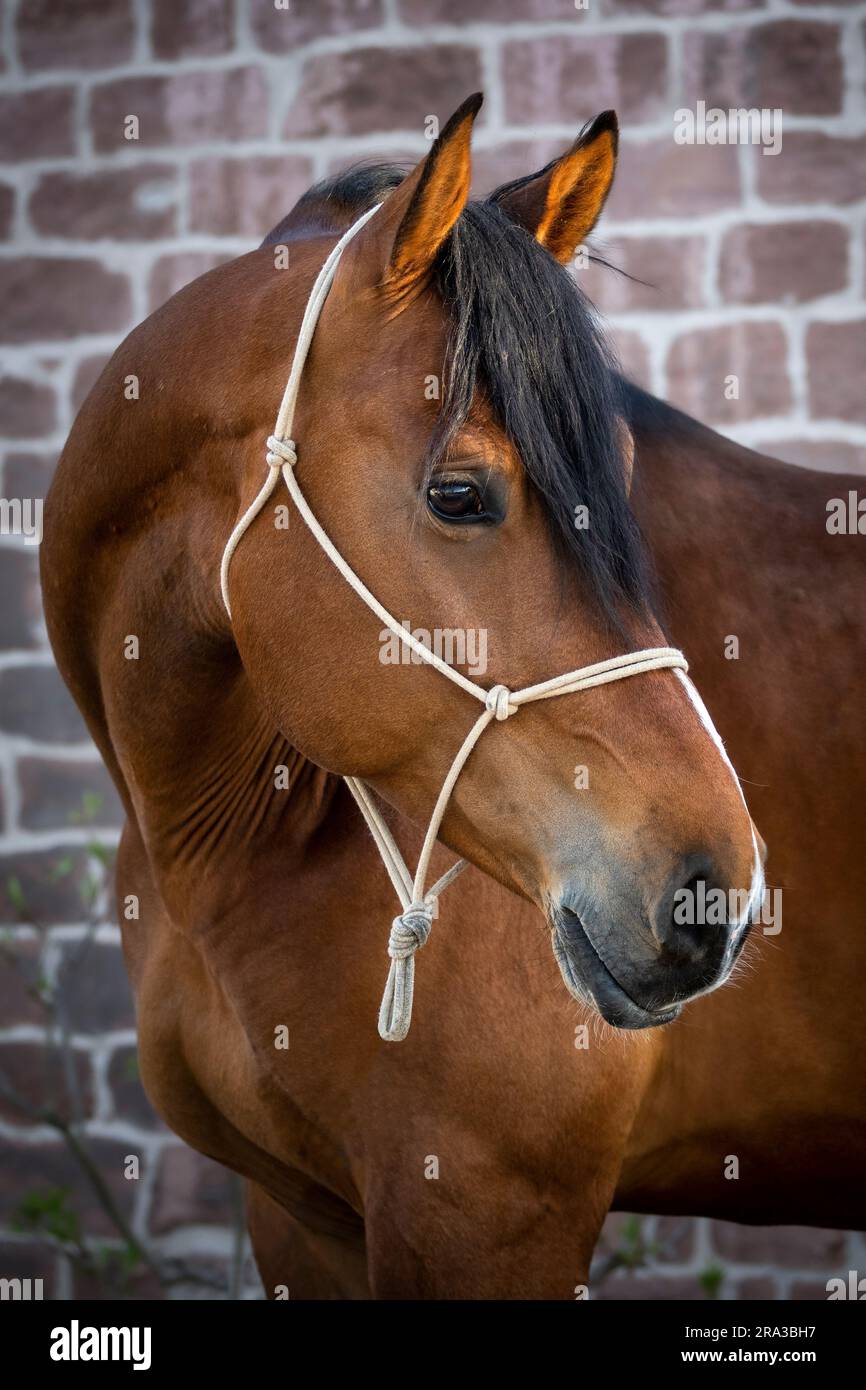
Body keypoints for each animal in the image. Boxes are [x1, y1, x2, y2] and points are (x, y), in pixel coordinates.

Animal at [42, 100, 866, 1301]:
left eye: (619, 474)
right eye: (459, 494)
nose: (717, 889)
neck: (230, 843)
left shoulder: (483, 1208)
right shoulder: (299, 1219)